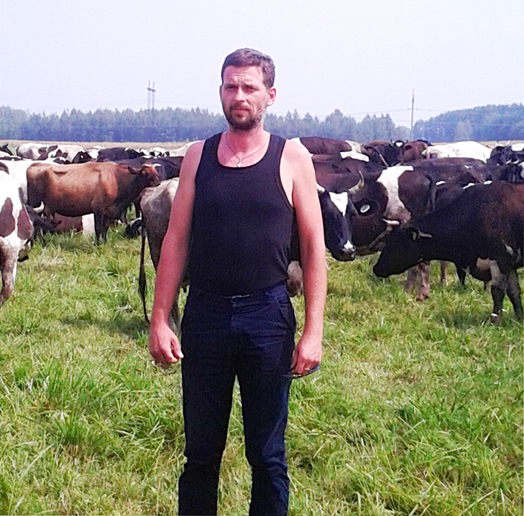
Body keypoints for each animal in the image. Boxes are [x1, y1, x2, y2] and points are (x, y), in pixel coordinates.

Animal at [26, 161, 160, 242]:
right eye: (144, 173)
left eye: (156, 172)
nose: (158, 183)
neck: (117, 179)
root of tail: (34, 165)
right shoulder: (98, 209)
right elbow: (98, 229)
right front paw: (97, 244)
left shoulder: (110, 212)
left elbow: (105, 228)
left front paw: (104, 243)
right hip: (36, 204)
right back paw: (41, 242)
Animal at [373, 181, 524, 322]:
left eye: (396, 243)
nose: (376, 268)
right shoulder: (510, 265)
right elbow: (514, 292)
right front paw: (519, 318)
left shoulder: (501, 259)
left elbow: (497, 292)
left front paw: (495, 320)